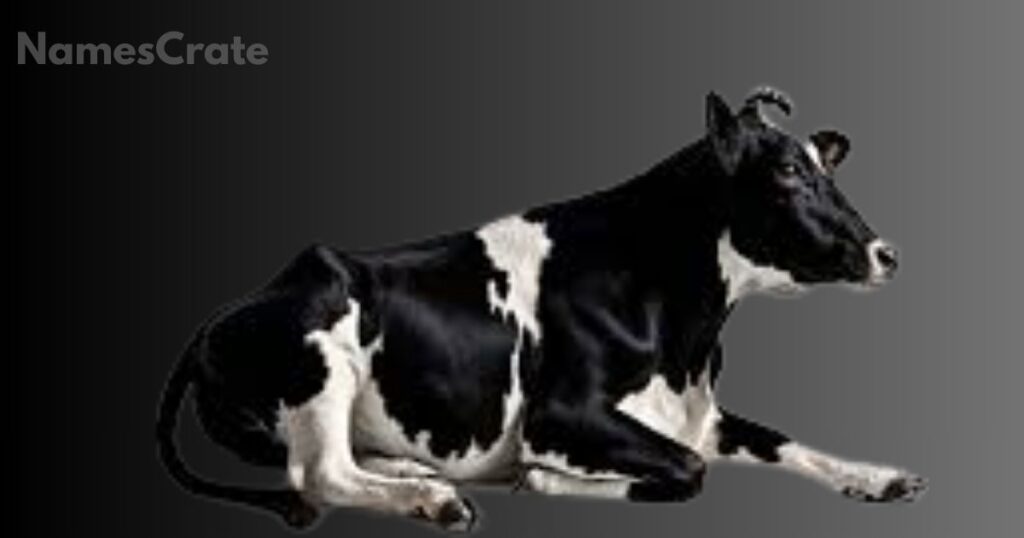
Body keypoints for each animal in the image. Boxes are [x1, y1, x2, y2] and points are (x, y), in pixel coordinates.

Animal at [157, 88, 926, 531]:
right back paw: (434, 498)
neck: (686, 338)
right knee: (318, 472)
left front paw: (879, 477)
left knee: (344, 459)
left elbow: (787, 442)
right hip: (320, 355)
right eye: (788, 172)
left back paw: (416, 473)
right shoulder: (562, 414)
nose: (885, 252)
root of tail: (220, 318)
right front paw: (545, 479)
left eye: (825, 167)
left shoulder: (699, 411)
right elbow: (685, 470)